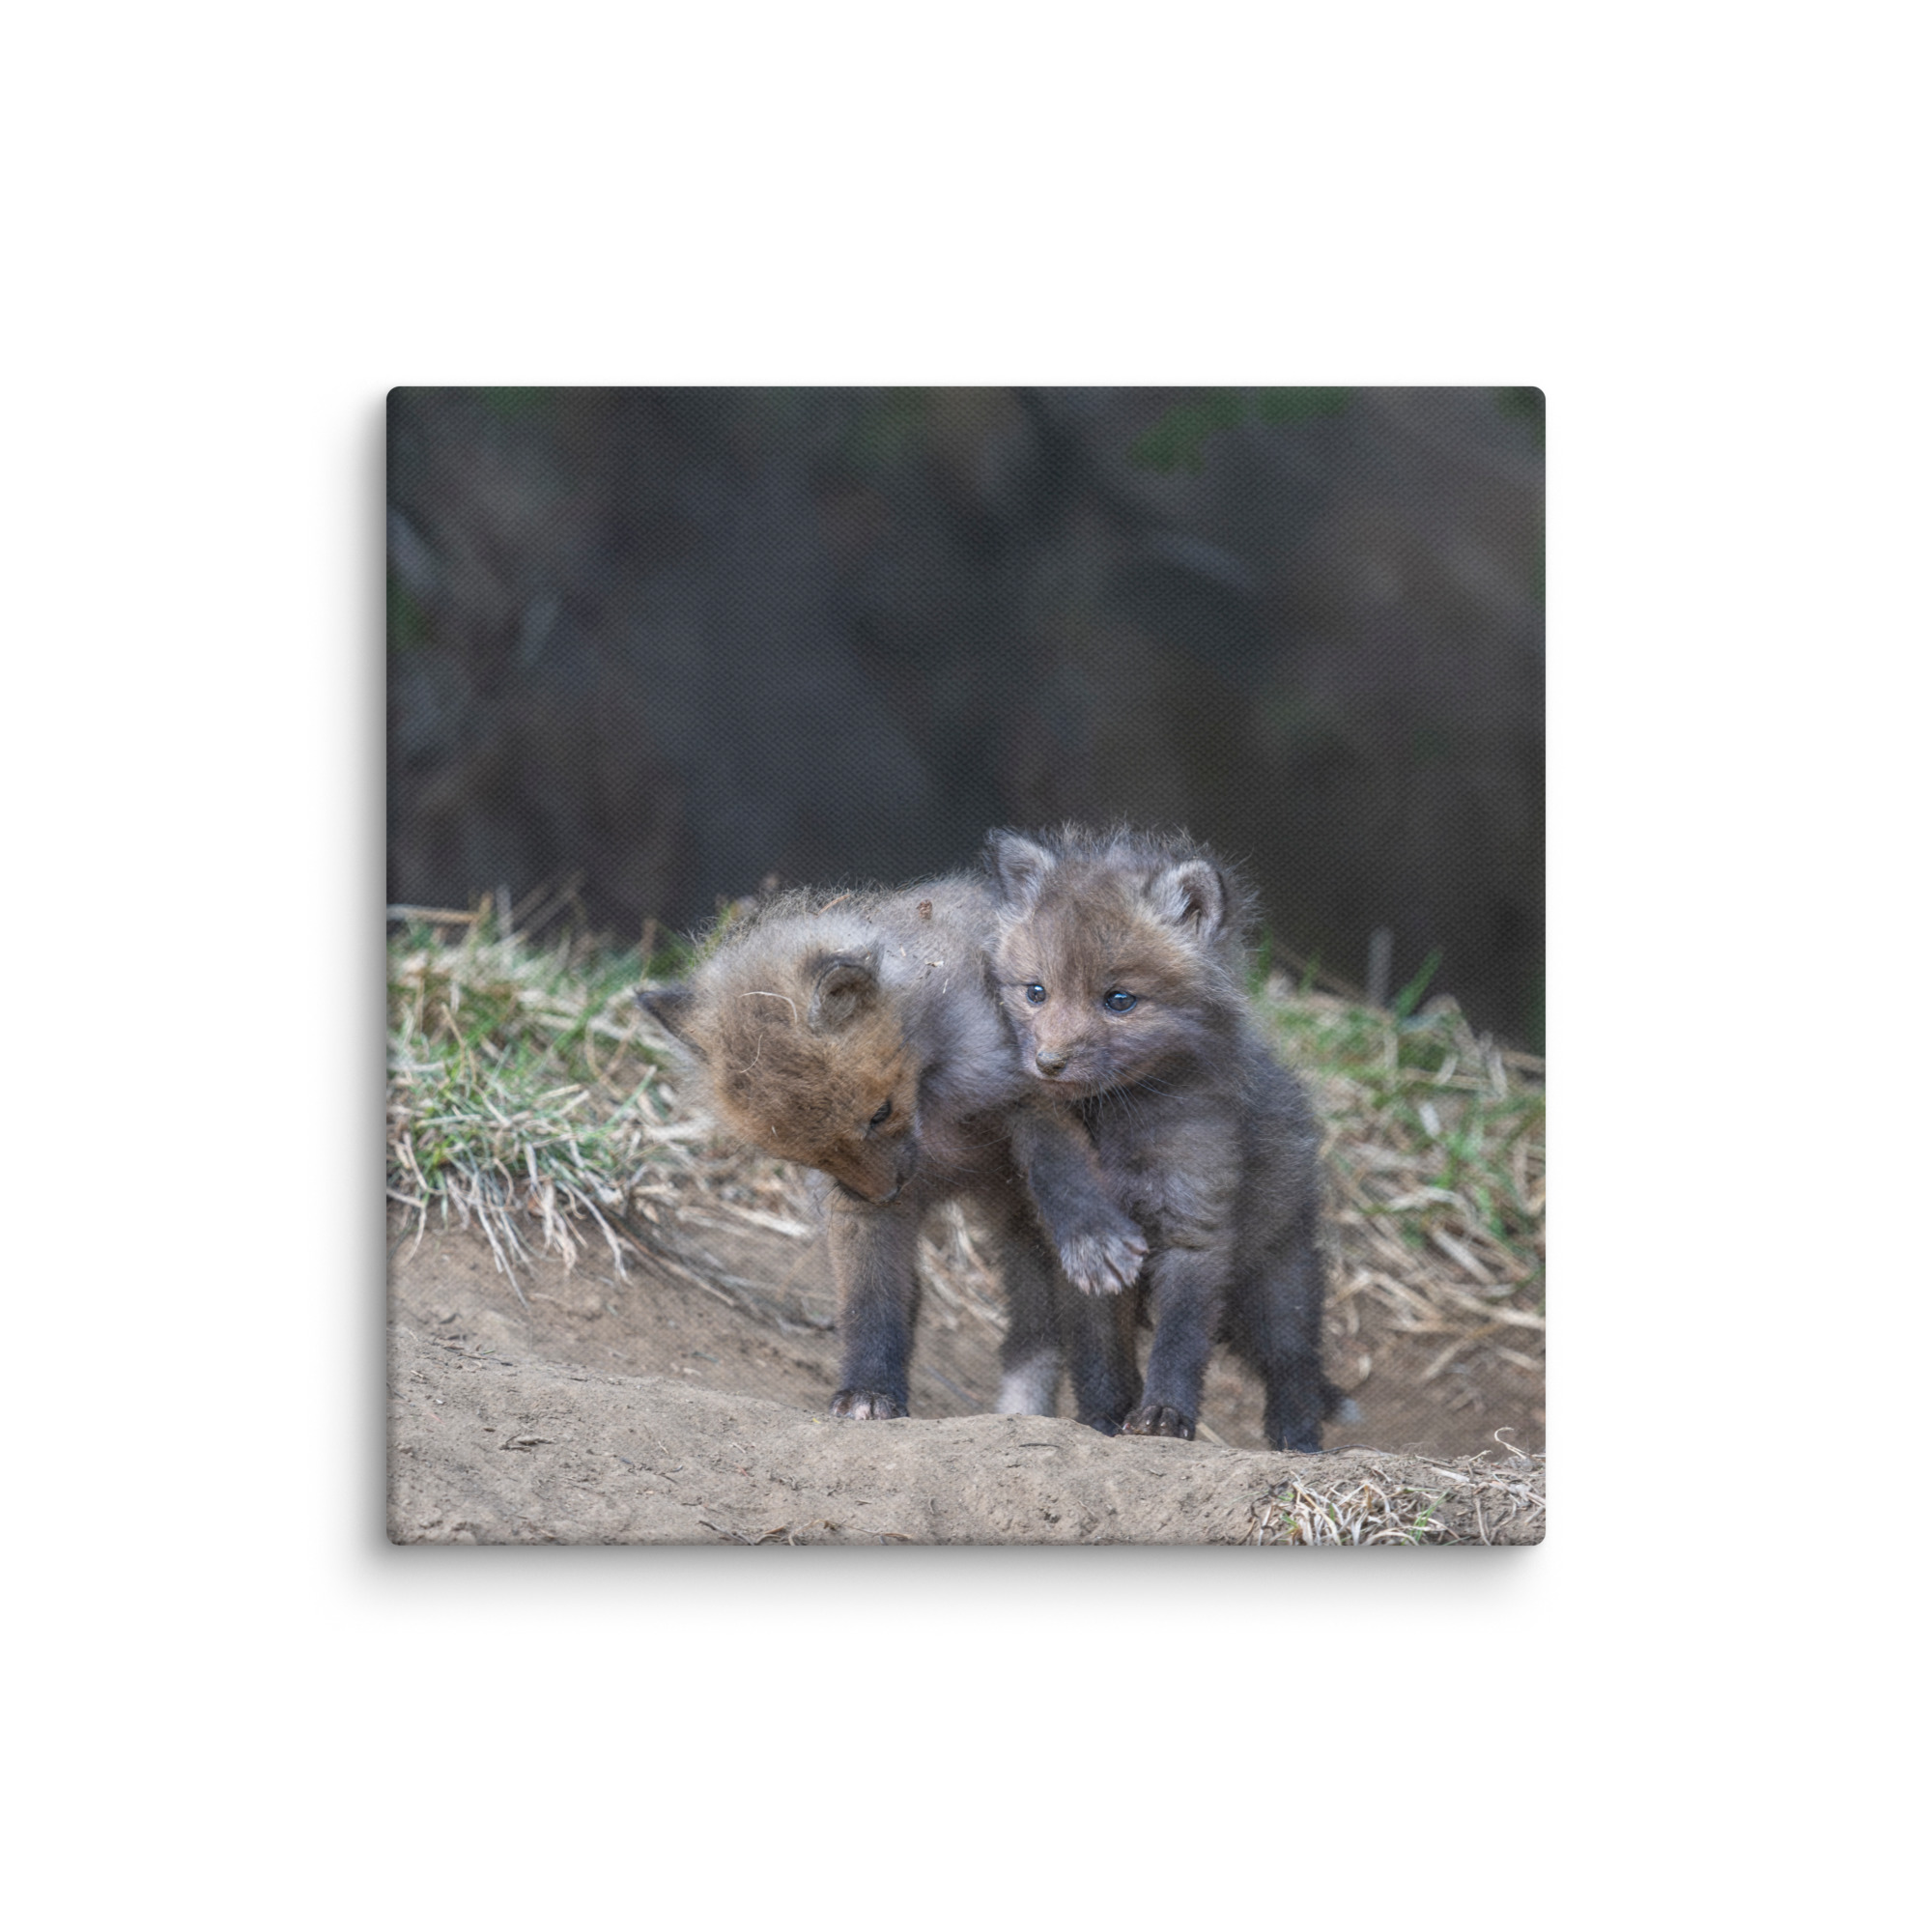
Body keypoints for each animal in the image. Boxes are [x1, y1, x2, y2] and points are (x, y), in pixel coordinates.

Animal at [638, 874, 1148, 1425]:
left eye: (879, 1113)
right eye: (804, 1154)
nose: (885, 1193)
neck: (935, 1109)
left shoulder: (1029, 1090)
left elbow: (1061, 1170)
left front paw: (1092, 1236)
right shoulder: (854, 1208)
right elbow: (870, 1303)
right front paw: (869, 1390)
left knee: (1091, 1334)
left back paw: (1108, 1416)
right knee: (1028, 1333)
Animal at [985, 825, 1346, 1452]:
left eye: (1119, 1000)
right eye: (1036, 992)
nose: (1048, 1063)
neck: (1117, 1125)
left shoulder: (1194, 1226)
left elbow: (1180, 1342)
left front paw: (1163, 1417)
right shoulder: (1088, 1257)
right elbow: (1099, 1354)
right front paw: (1103, 1420)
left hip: (1277, 1281)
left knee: (1294, 1365)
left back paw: (1297, 1444)